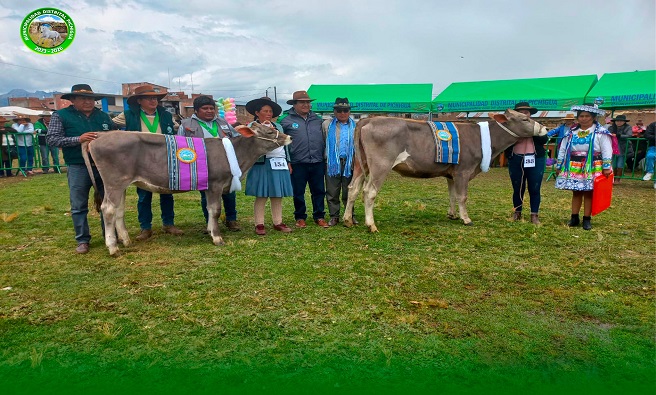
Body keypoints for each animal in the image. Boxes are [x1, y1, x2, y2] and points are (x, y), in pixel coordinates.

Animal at [82, 124, 290, 256]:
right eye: (270, 131)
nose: (288, 137)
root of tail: (100, 135)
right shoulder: (215, 183)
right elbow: (215, 210)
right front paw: (217, 238)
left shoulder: (208, 186)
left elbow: (209, 210)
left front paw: (209, 230)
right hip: (114, 182)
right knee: (108, 209)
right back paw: (113, 247)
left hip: (122, 185)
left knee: (119, 210)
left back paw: (126, 240)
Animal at [344, 110, 548, 230]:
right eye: (525, 119)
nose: (545, 128)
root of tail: (368, 120)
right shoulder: (464, 171)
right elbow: (462, 196)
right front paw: (466, 219)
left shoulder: (452, 174)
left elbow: (452, 195)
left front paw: (452, 215)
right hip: (380, 165)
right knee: (369, 191)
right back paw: (371, 225)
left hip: (361, 164)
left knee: (353, 189)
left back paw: (347, 220)